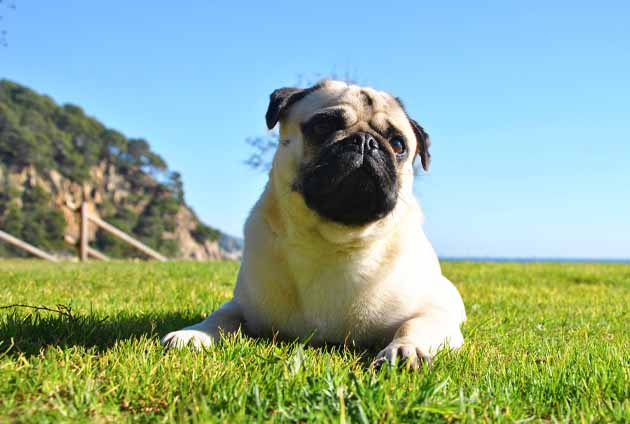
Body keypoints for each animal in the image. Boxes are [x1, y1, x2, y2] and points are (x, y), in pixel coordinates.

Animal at [163, 80, 470, 368]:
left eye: (398, 145)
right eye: (323, 127)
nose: (365, 141)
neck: (332, 242)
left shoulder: (434, 313)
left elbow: (413, 324)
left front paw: (406, 348)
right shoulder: (243, 305)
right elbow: (219, 316)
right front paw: (194, 334)